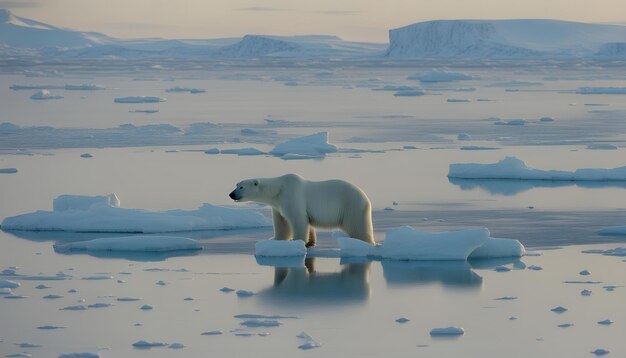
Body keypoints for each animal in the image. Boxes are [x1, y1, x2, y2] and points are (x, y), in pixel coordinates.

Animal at [229, 174, 376, 248]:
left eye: (241, 187)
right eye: (236, 185)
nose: (231, 194)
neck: (278, 190)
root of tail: (366, 199)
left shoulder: (292, 197)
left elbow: (297, 220)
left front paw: (297, 241)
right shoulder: (278, 205)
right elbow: (281, 223)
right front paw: (276, 239)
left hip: (352, 207)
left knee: (358, 227)